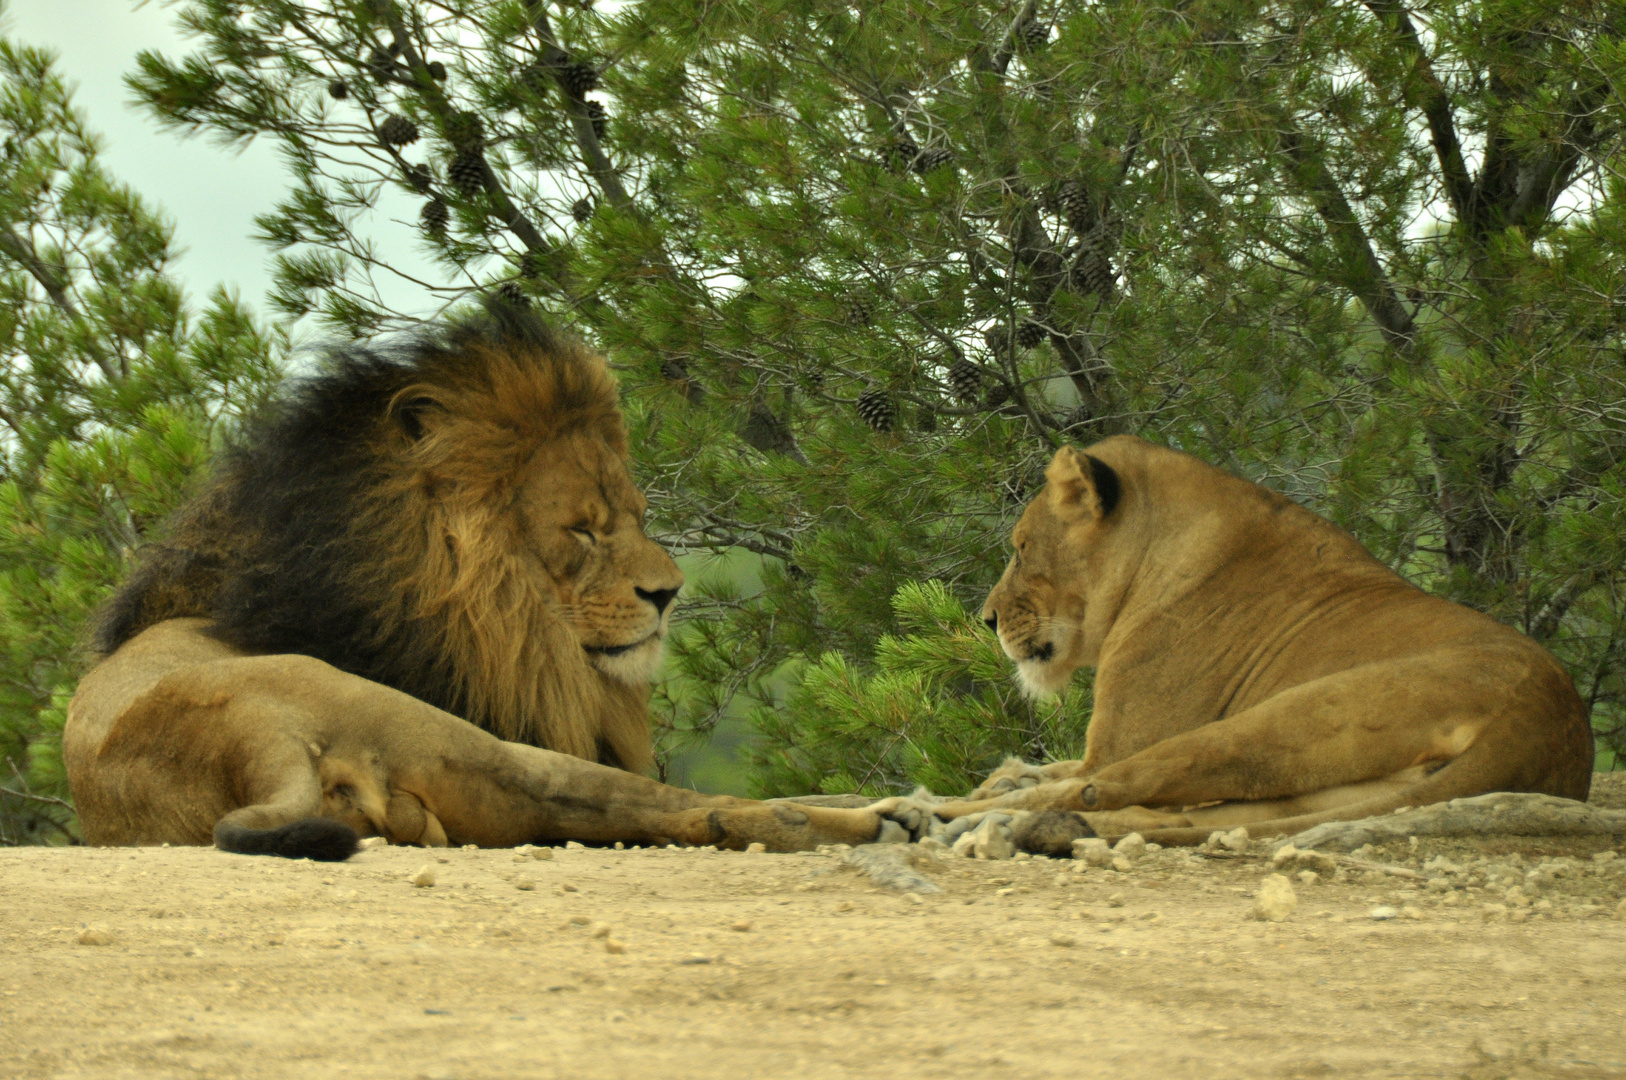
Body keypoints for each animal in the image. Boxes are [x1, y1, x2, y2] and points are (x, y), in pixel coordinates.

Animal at [63, 305, 904, 858]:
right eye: (584, 529)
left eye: (638, 516)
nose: (668, 594)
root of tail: (243, 746)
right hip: (470, 746)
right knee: (702, 810)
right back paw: (882, 816)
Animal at [936, 435, 1593, 845]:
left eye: (1022, 548)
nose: (986, 619)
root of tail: (1549, 718)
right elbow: (1054, 769)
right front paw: (1009, 773)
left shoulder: (1120, 743)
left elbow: (1080, 774)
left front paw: (1000, 786)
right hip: (1311, 788)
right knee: (1171, 813)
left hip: (1283, 717)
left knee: (1103, 792)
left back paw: (940, 816)